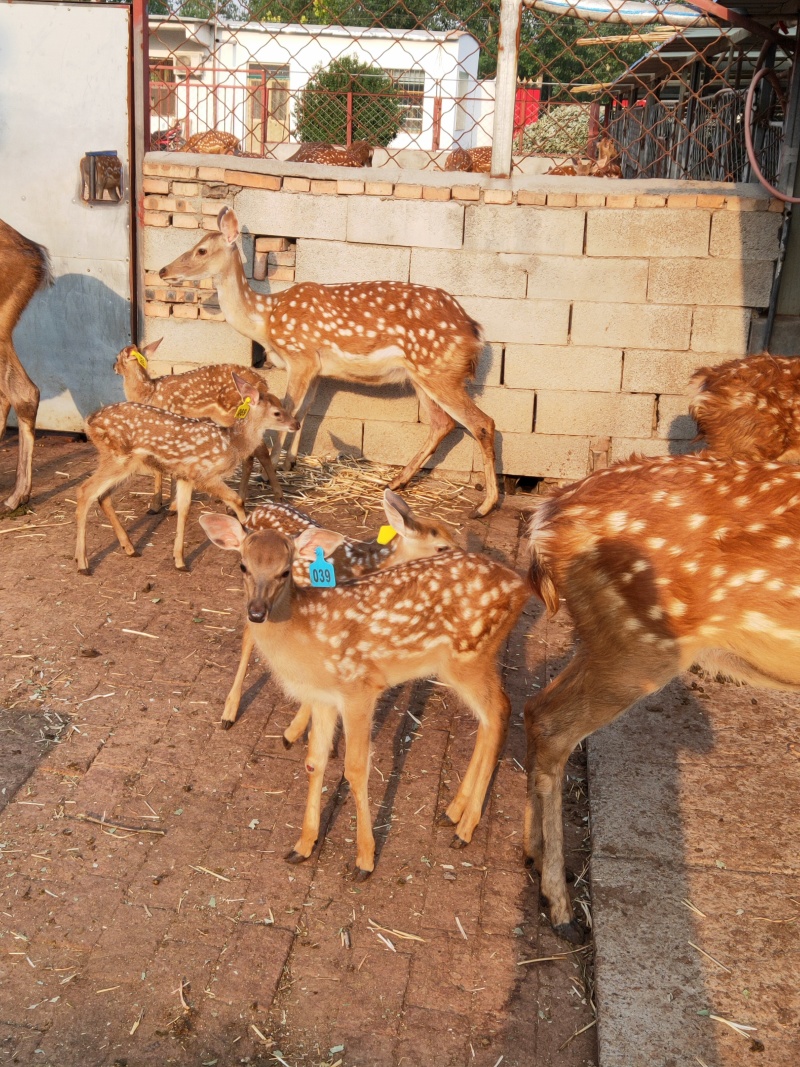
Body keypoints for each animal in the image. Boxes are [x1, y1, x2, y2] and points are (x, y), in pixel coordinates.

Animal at [75, 372, 299, 575]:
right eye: (277, 413)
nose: (296, 424)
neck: (233, 444)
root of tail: (89, 421)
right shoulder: (205, 475)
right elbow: (237, 500)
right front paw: (246, 536)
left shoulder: (185, 476)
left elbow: (184, 510)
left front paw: (180, 561)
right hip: (118, 459)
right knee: (85, 490)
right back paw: (83, 563)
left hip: (125, 465)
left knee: (102, 496)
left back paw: (130, 548)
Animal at [113, 339, 284, 512]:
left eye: (117, 357)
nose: (113, 367)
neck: (148, 393)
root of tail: (264, 383)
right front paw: (172, 503)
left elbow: (159, 469)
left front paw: (158, 506)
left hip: (234, 416)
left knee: (258, 451)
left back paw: (273, 496)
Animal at [158, 207, 499, 517]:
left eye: (201, 250)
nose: (163, 271)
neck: (265, 318)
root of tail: (475, 331)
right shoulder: (317, 370)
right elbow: (303, 412)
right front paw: (290, 462)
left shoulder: (300, 356)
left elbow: (288, 406)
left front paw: (272, 473)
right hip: (420, 375)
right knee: (442, 423)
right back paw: (396, 482)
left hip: (437, 370)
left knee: (481, 423)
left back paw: (484, 506)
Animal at [523, 453, 800, 944]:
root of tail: (546, 516)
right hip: (641, 647)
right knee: (552, 725)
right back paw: (562, 909)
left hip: (607, 642)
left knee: (536, 708)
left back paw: (536, 859)